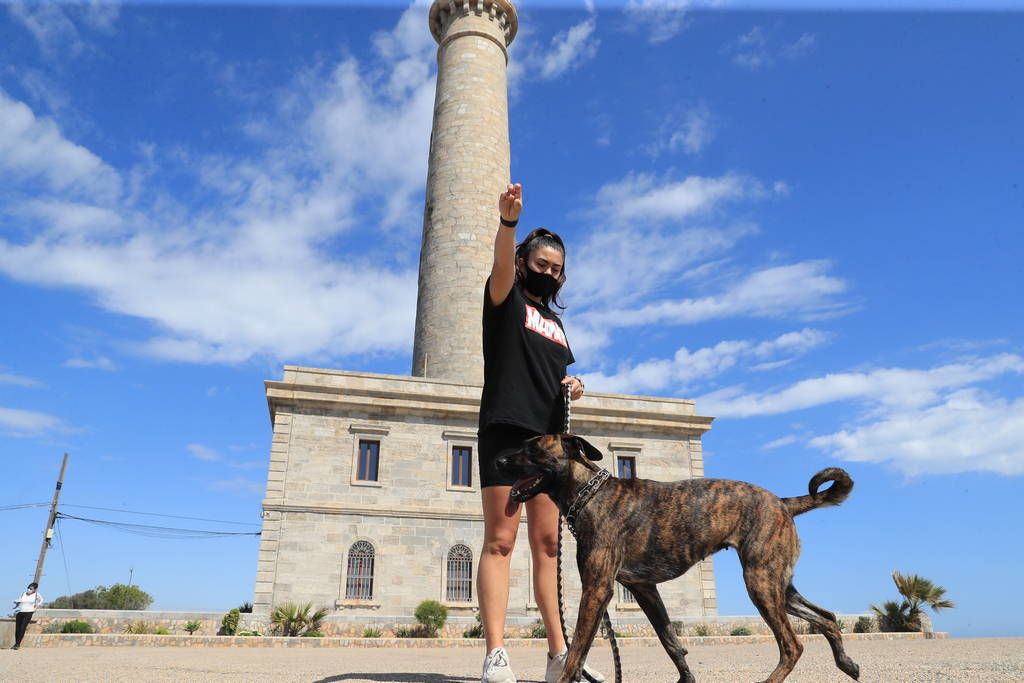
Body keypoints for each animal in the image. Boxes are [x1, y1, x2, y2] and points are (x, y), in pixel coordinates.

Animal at [495, 438, 856, 683]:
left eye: (533, 448)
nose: (497, 459)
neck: (590, 493)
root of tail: (782, 502)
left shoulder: (597, 589)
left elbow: (576, 653)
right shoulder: (645, 591)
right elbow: (671, 642)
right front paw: (687, 678)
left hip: (761, 583)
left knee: (792, 645)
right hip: (779, 585)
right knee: (826, 617)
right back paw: (847, 664)